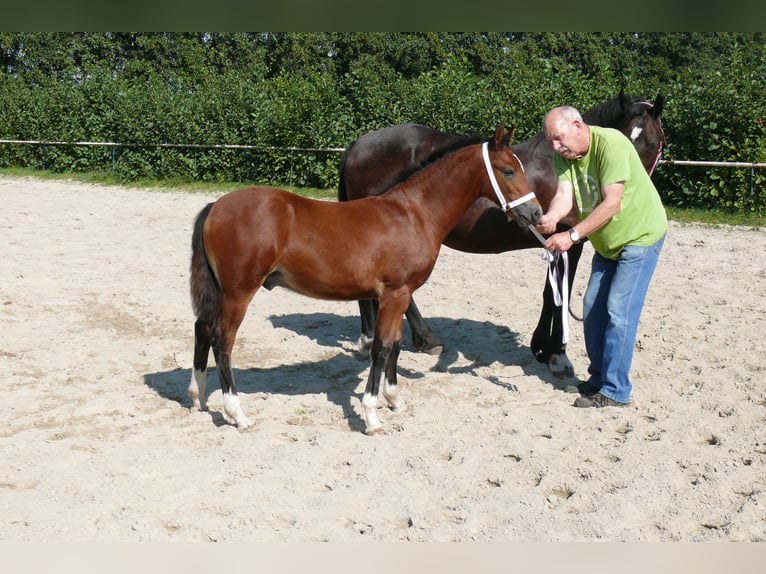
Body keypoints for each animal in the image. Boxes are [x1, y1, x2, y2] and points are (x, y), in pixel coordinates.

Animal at [190, 124, 544, 434]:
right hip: (239, 292)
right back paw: (237, 414)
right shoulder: (395, 293)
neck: (414, 213)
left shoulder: (400, 295)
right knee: (222, 339)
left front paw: (394, 400)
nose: (536, 214)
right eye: (508, 171)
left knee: (202, 328)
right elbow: (382, 348)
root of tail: (215, 206)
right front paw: (372, 415)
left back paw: (198, 397)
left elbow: (396, 344)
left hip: (221, 291)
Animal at [342, 90, 664, 380]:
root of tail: (358, 145)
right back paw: (417, 339)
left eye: (651, 143)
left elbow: (550, 294)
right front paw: (557, 355)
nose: (624, 188)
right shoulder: (569, 245)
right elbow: (558, 296)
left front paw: (541, 348)